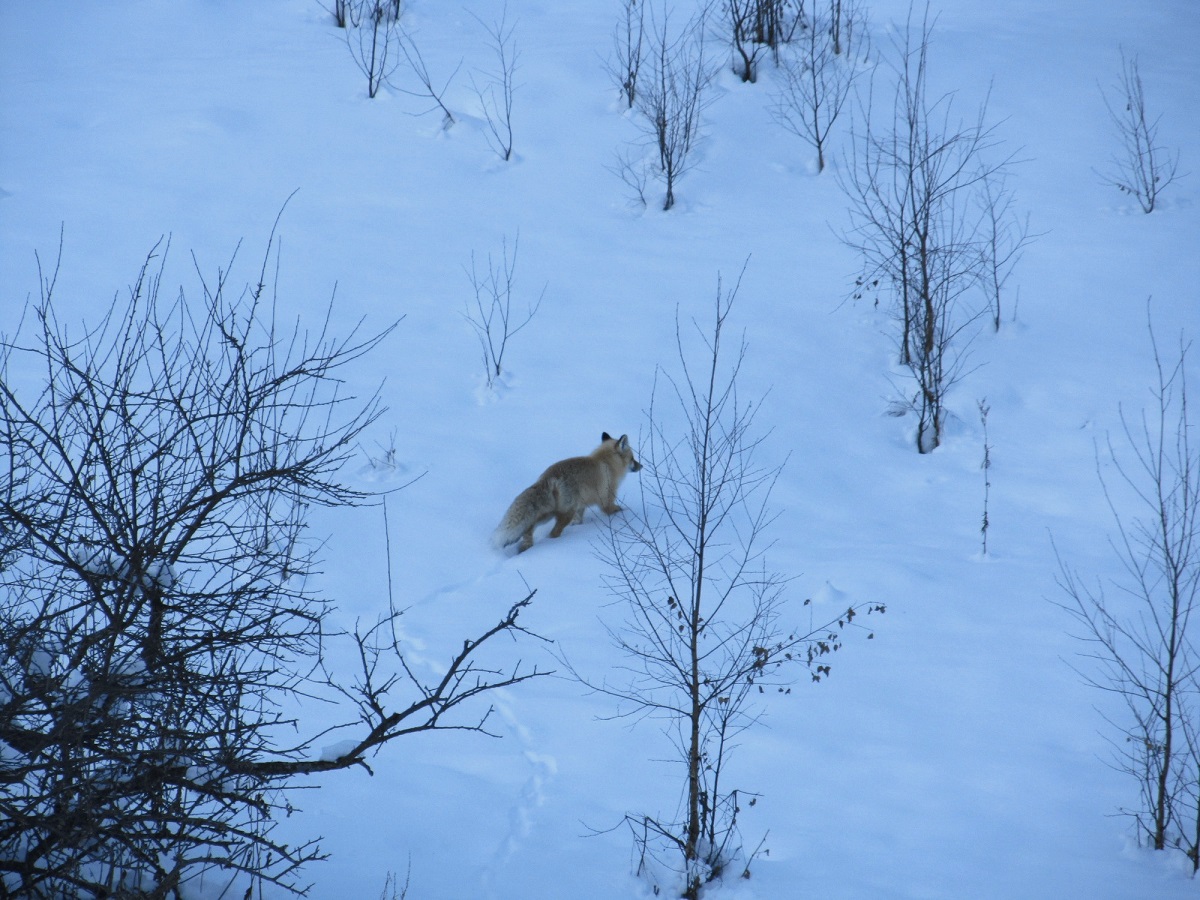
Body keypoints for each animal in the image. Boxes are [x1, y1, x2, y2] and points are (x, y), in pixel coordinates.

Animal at [492, 434, 643, 554]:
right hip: (565, 513)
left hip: (548, 514)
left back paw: (525, 548)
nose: (641, 466)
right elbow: (617, 510)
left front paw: (578, 526)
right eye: (633, 458)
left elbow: (579, 520)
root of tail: (547, 476)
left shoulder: (581, 506)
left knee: (528, 529)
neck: (607, 463)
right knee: (553, 533)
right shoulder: (607, 500)